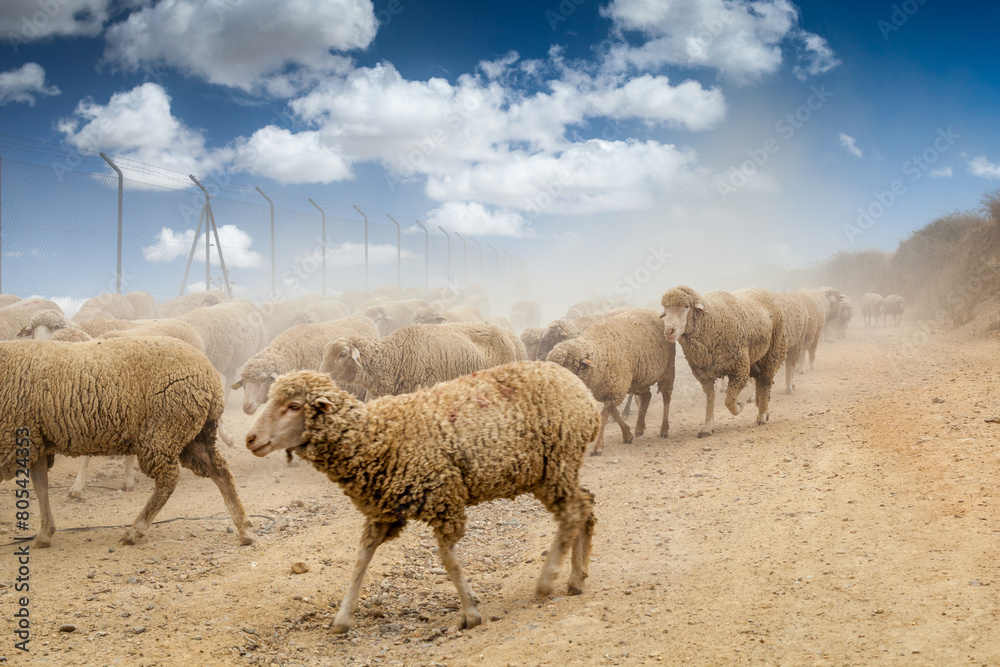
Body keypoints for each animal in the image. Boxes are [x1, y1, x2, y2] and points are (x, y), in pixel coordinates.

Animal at [0, 336, 253, 548]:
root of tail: (211, 376)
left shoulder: (15, 441)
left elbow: (39, 485)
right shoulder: (35, 441)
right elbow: (40, 485)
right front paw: (45, 533)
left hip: (163, 431)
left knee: (168, 480)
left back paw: (135, 530)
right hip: (193, 435)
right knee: (220, 471)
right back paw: (243, 528)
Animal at [244, 362, 599, 632]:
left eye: (294, 406)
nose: (250, 439)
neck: (375, 435)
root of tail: (586, 395)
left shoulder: (444, 498)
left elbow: (448, 560)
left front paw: (471, 613)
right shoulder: (384, 512)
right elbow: (361, 559)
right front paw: (342, 618)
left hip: (558, 461)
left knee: (574, 511)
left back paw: (547, 580)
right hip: (547, 472)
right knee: (584, 506)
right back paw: (576, 578)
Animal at [546, 309, 675, 455]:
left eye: (568, 363)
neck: (598, 353)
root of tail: (652, 311)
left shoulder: (616, 388)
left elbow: (604, 416)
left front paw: (597, 447)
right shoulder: (611, 389)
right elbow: (614, 412)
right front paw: (627, 434)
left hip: (668, 369)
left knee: (666, 397)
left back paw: (664, 429)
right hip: (638, 378)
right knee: (647, 396)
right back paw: (639, 428)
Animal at [660, 285, 787, 437]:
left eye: (686, 306)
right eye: (665, 309)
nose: (669, 332)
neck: (712, 320)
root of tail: (763, 290)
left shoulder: (740, 368)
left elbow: (729, 401)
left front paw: (740, 406)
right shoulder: (704, 374)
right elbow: (710, 397)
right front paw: (708, 427)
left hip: (772, 351)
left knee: (766, 381)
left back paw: (761, 415)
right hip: (755, 359)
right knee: (760, 381)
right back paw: (765, 410)